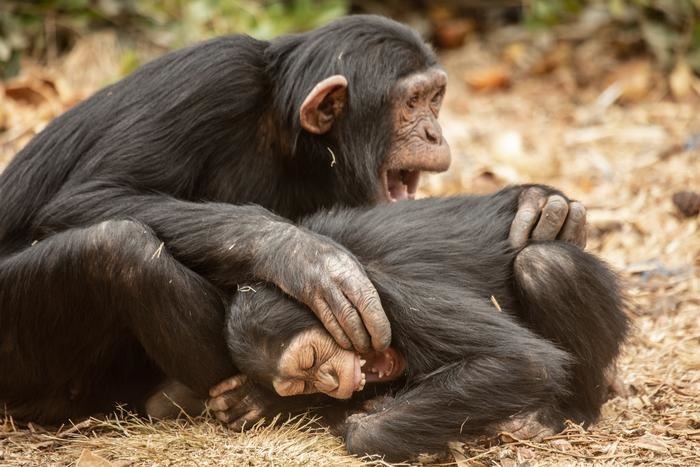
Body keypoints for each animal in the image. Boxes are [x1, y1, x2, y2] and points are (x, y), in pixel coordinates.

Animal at [0, 14, 584, 426]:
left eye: (436, 97)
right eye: (413, 102)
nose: (434, 133)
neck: (289, 133)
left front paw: (544, 207)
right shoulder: (212, 78)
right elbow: (92, 194)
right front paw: (307, 259)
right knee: (118, 247)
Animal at [215, 186, 628, 460]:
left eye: (312, 359)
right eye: (302, 383)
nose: (330, 382)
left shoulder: (384, 292)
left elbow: (521, 362)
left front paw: (359, 425)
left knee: (546, 266)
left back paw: (561, 414)